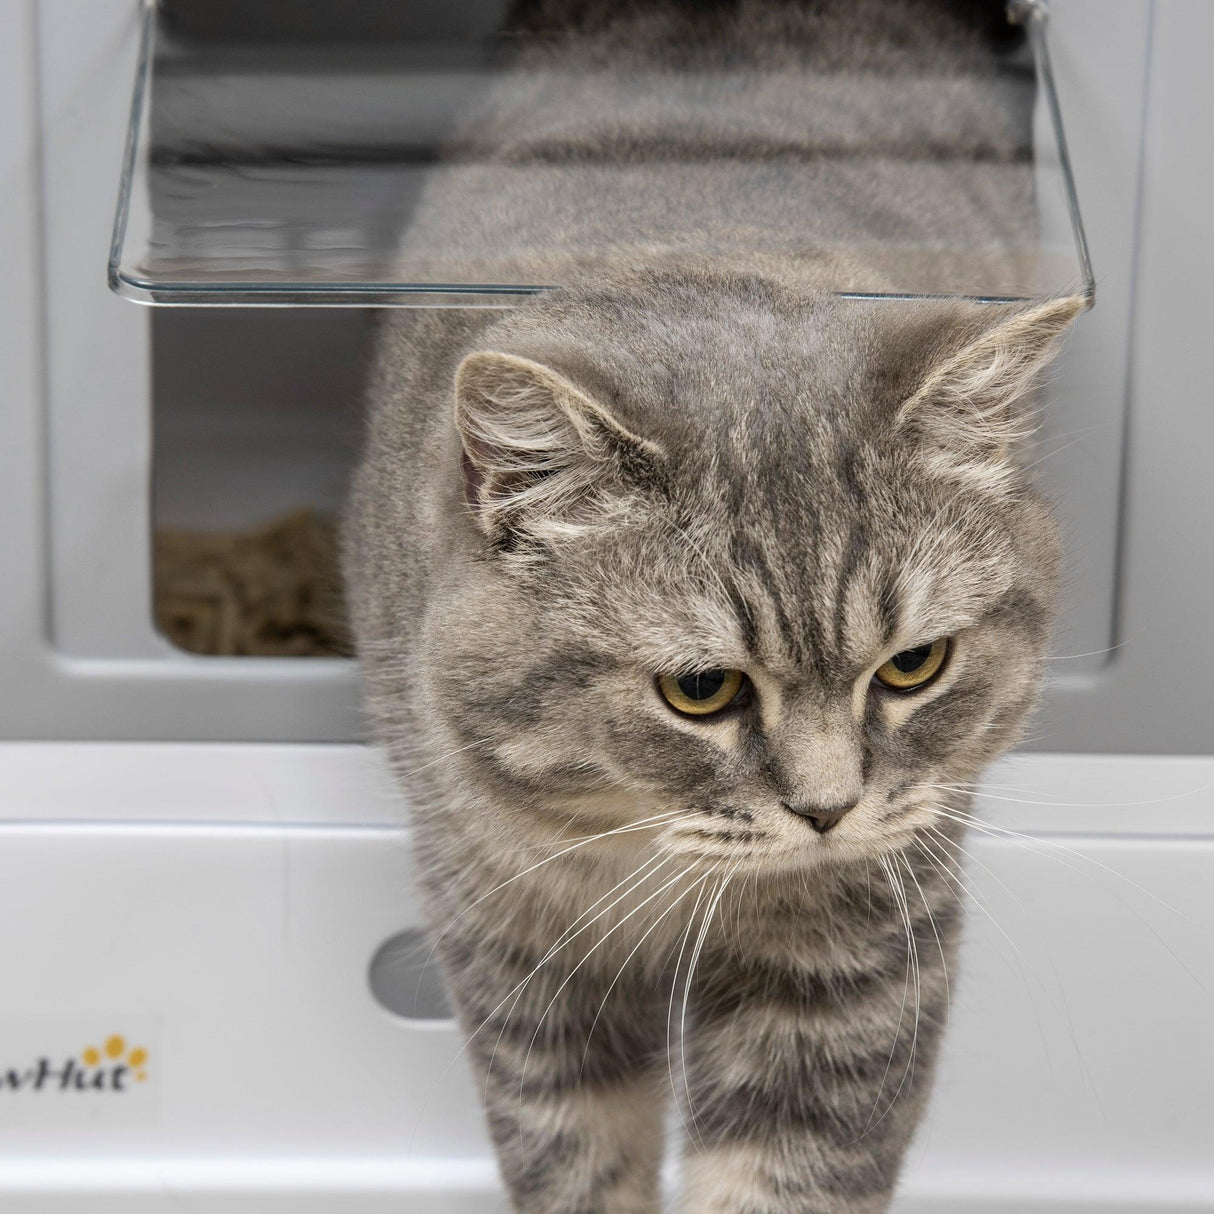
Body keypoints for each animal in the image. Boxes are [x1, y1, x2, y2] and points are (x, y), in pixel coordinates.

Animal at [339, 2, 1082, 1214]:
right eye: (700, 688)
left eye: (912, 665)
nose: (828, 810)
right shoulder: (511, 937)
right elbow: (573, 1158)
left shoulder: (853, 961)